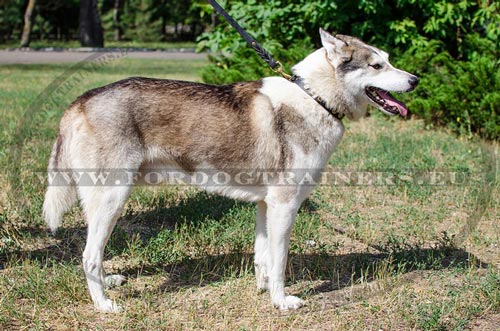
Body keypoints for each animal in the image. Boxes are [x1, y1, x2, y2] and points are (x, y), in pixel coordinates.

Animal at [43, 29, 418, 314]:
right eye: (376, 65)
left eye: (388, 60)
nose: (415, 79)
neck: (315, 99)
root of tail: (80, 101)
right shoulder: (285, 206)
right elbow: (280, 263)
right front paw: (282, 302)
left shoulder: (266, 206)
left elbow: (263, 258)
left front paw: (262, 291)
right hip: (113, 199)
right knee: (88, 256)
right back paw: (104, 305)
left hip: (104, 204)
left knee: (93, 253)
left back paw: (109, 283)